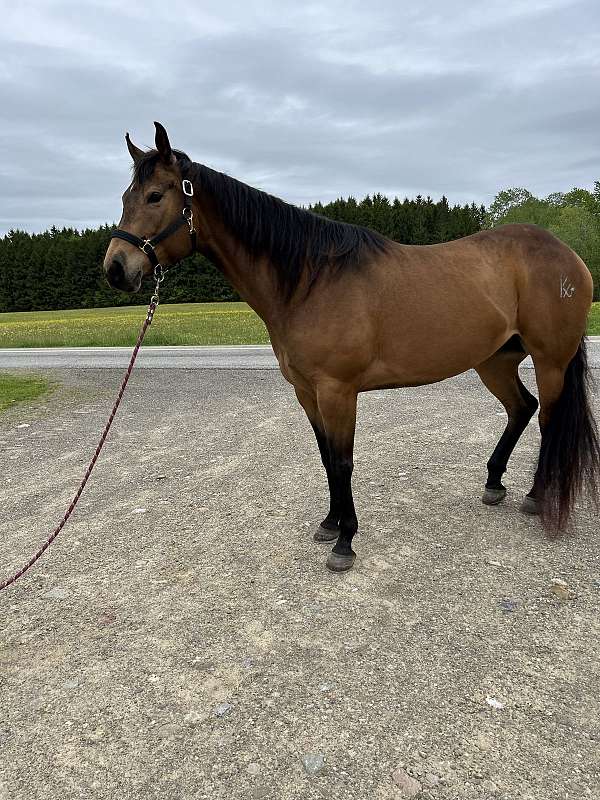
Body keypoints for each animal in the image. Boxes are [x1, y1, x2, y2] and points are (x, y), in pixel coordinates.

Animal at [103, 122, 599, 573]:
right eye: (126, 198)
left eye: (155, 196)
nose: (115, 269)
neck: (311, 279)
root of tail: (565, 254)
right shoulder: (307, 392)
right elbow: (326, 458)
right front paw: (330, 524)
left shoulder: (338, 391)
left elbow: (343, 462)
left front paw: (345, 543)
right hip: (494, 361)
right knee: (522, 408)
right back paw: (495, 483)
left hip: (549, 361)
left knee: (550, 420)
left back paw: (537, 497)